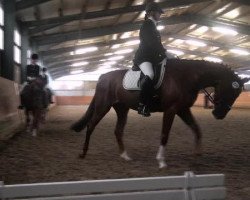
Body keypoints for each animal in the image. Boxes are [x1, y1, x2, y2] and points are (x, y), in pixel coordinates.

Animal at [71, 59, 248, 169]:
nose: (220, 114)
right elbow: (165, 134)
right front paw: (162, 162)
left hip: (122, 109)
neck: (186, 76)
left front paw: (197, 154)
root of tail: (102, 77)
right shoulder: (171, 109)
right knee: (91, 125)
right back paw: (83, 153)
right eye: (232, 91)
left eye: (237, 94)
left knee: (118, 131)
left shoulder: (183, 109)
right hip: (103, 106)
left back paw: (125, 156)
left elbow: (197, 130)